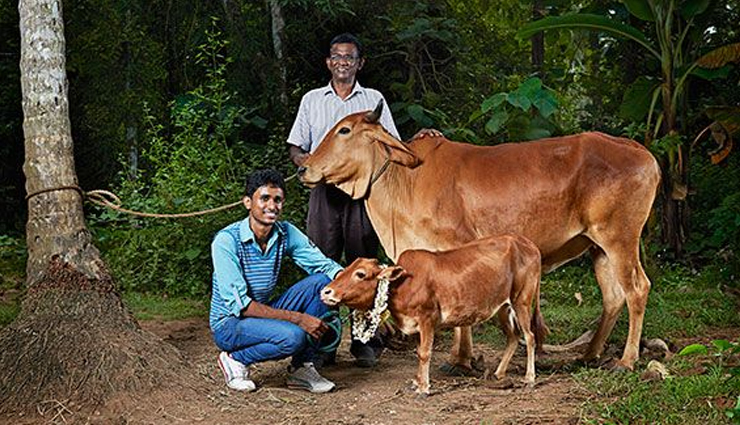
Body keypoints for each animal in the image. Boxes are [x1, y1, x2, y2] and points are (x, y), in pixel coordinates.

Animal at [299, 100, 661, 372]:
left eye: (345, 130)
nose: (304, 167)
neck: (405, 178)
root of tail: (642, 152)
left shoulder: (454, 247)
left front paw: (460, 359)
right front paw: (465, 358)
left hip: (620, 238)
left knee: (637, 289)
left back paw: (627, 361)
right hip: (598, 246)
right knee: (613, 296)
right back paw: (589, 355)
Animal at [321, 234, 546, 395]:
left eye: (360, 274)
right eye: (346, 269)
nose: (326, 292)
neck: (402, 284)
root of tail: (528, 244)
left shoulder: (427, 318)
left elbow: (424, 352)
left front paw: (424, 387)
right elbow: (419, 351)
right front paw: (418, 382)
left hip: (521, 300)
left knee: (530, 336)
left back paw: (530, 378)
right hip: (502, 307)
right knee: (513, 337)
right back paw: (499, 373)